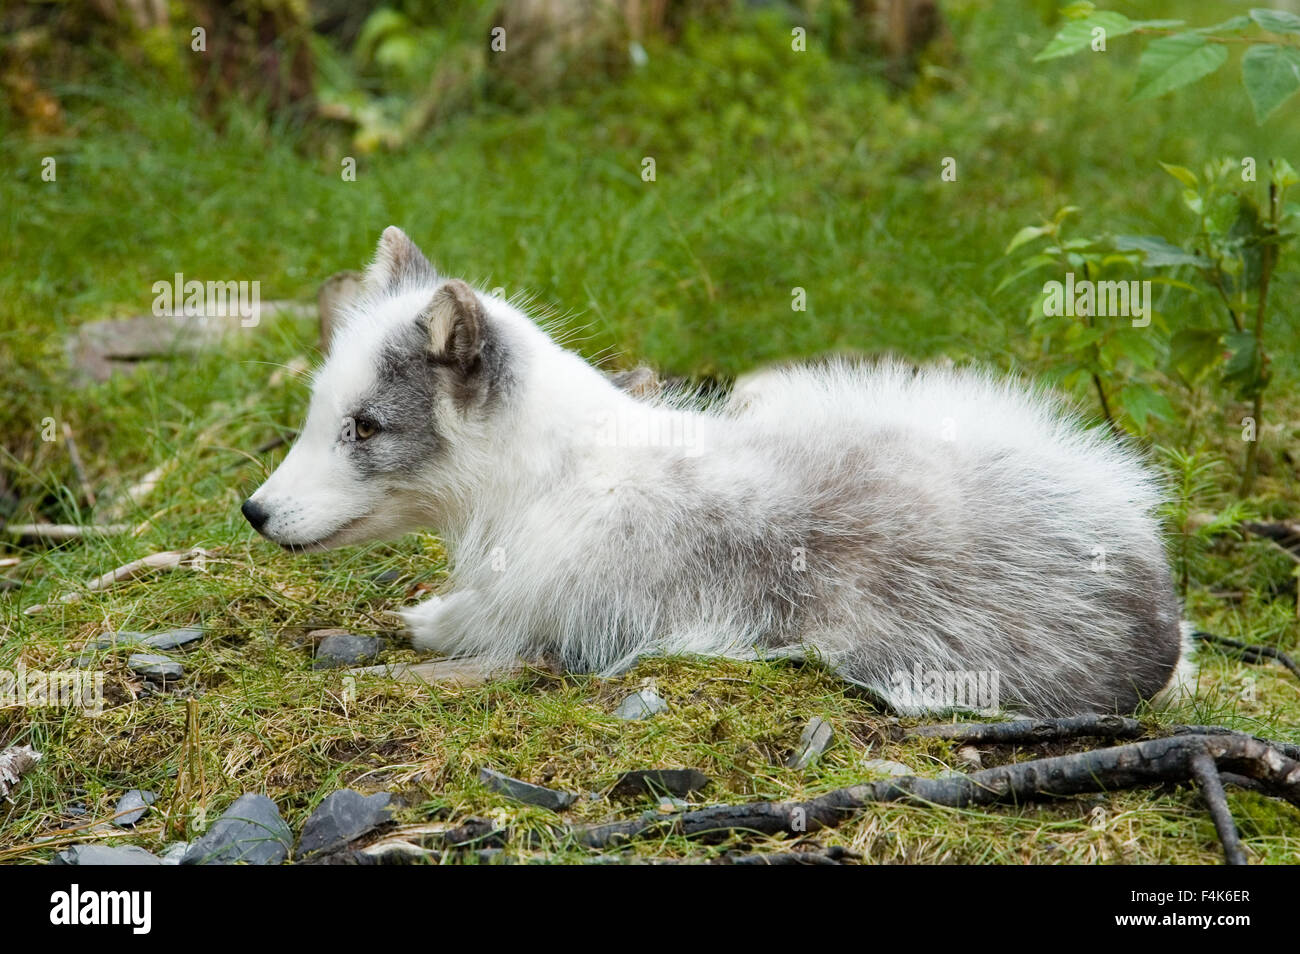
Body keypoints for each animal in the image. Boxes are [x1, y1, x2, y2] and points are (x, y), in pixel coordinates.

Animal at [241, 226, 1190, 717]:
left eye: (365, 428)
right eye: (321, 412)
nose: (253, 510)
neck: (556, 479)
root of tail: (1158, 590)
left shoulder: (571, 621)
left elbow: (488, 629)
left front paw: (429, 625)